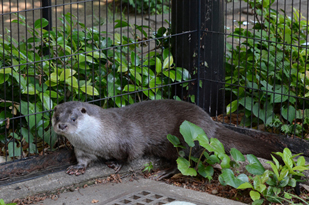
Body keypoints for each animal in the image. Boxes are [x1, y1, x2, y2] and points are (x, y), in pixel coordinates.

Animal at [52, 99, 280, 176]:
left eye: (73, 117)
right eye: (56, 116)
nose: (61, 125)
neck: (98, 140)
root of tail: (211, 124)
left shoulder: (129, 137)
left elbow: (132, 154)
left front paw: (117, 163)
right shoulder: (82, 149)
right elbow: (83, 160)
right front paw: (77, 168)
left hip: (186, 139)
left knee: (188, 162)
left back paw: (165, 172)